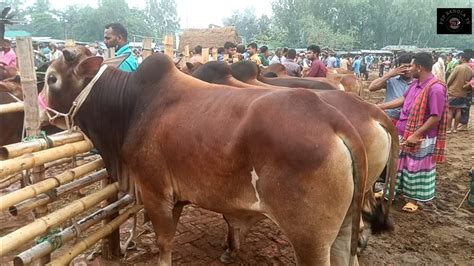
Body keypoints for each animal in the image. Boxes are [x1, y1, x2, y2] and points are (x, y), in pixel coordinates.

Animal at [43, 46, 370, 264]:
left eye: (50, 79)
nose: (44, 120)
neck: (130, 105)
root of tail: (333, 121)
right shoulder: (174, 198)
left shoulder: (154, 192)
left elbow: (164, 243)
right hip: (341, 233)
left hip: (310, 241)